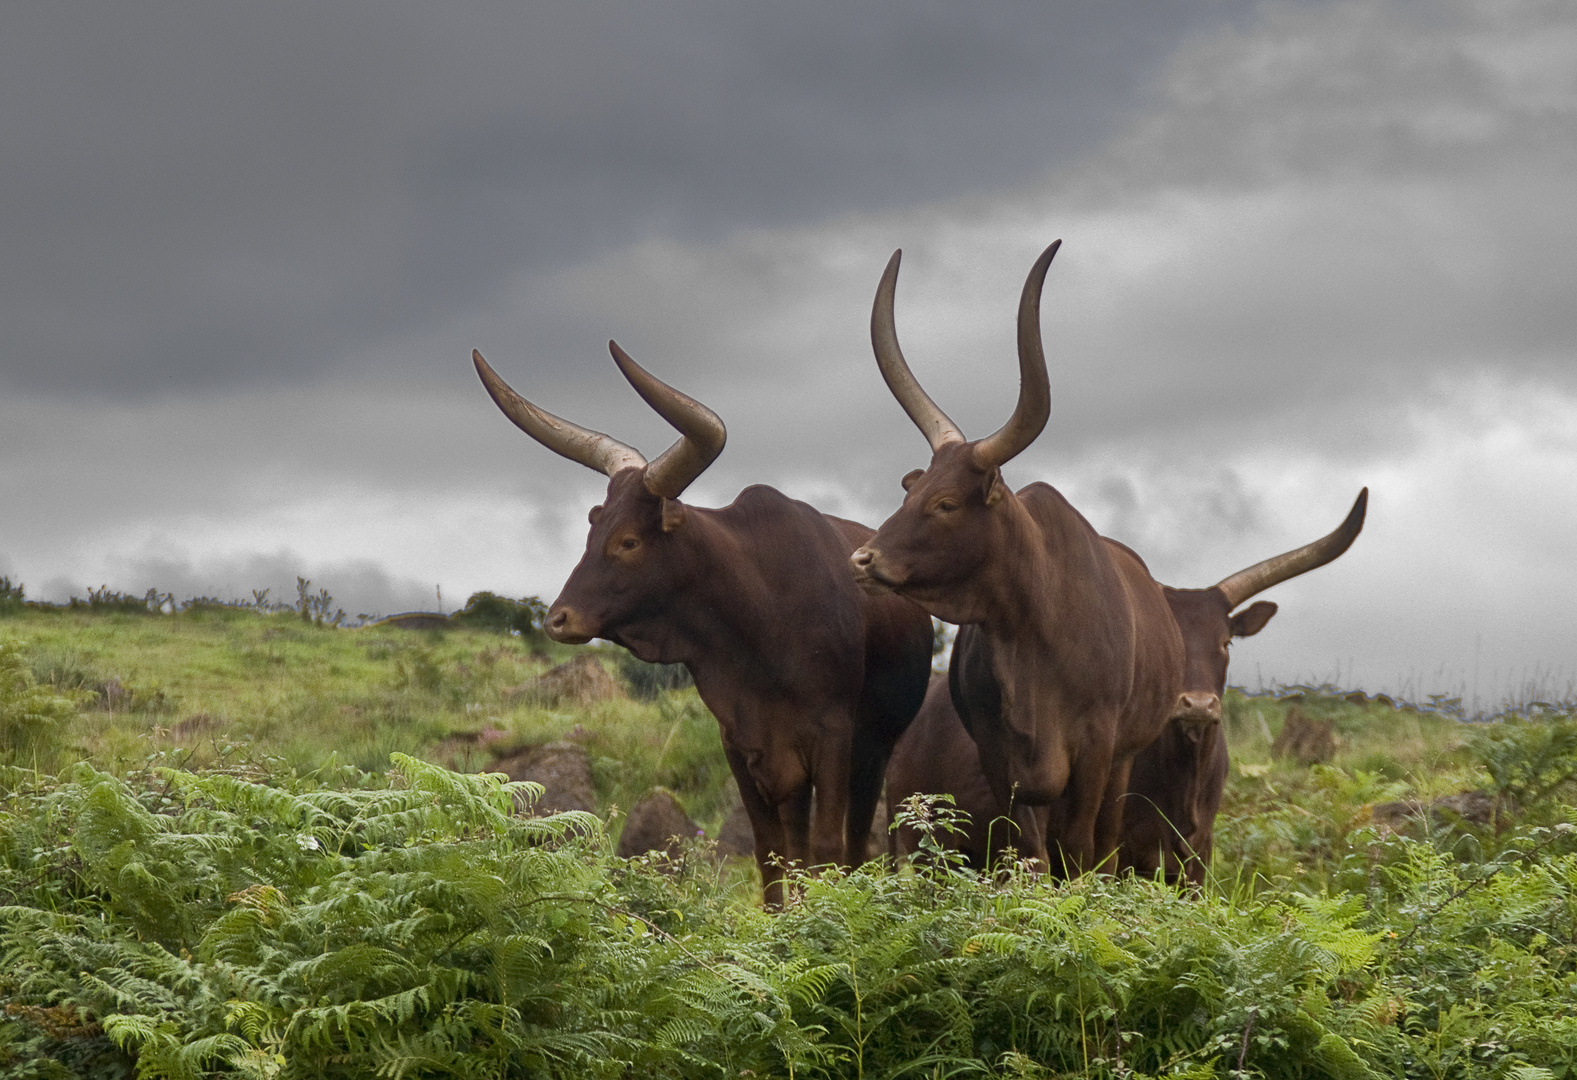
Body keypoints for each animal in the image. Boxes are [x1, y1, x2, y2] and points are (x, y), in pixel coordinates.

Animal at [473, 343, 927, 901]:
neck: (762, 615)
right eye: (592, 530)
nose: (559, 619)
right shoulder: (743, 744)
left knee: (859, 844)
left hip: (876, 750)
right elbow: (771, 855)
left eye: (629, 540)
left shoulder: (834, 738)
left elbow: (827, 851)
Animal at [889, 488, 1368, 882]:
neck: (1183, 782)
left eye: (1226, 641)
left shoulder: (1197, 863)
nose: (1197, 705)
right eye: (1171, 641)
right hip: (921, 843)